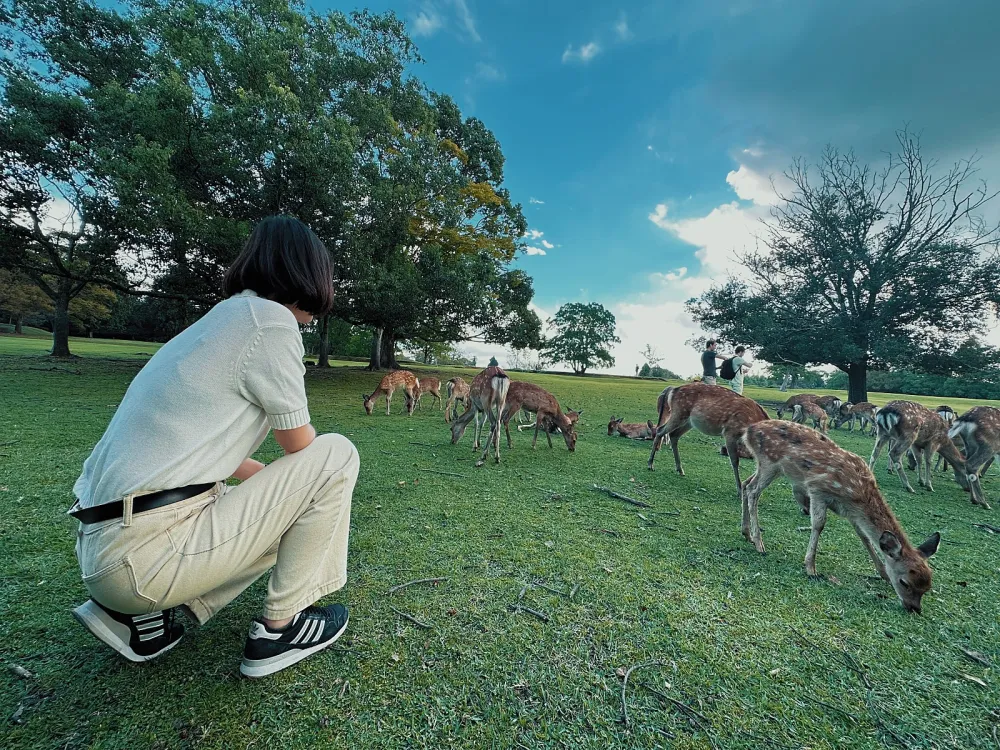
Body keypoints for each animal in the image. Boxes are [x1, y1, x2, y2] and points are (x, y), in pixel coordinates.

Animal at [740, 420, 940, 612]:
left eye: (927, 586)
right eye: (904, 582)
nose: (914, 608)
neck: (858, 497)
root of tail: (748, 431)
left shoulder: (850, 513)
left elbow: (864, 537)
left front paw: (882, 572)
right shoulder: (817, 490)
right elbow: (819, 524)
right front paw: (811, 568)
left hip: (767, 466)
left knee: (745, 483)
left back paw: (746, 533)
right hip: (770, 463)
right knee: (753, 491)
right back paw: (759, 543)